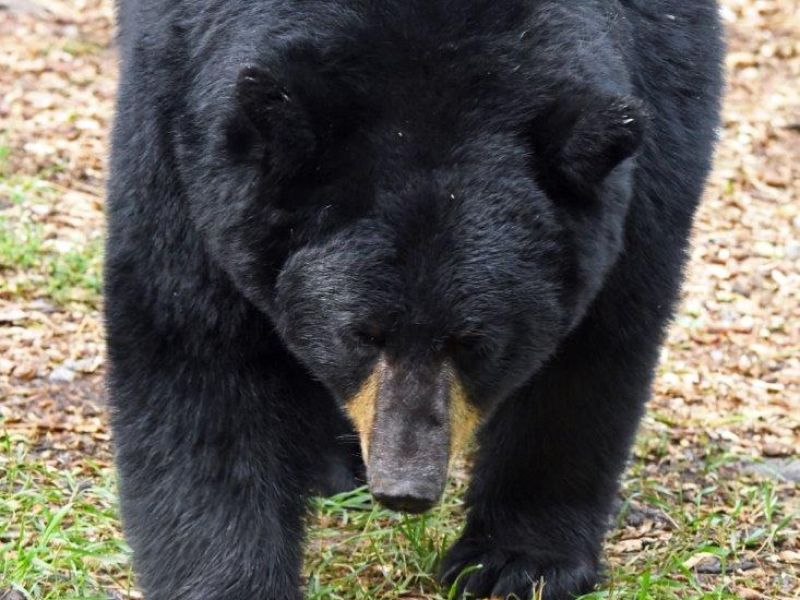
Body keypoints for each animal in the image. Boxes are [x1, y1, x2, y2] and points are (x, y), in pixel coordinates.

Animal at [104, 0, 723, 598]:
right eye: (361, 334)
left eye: (473, 342)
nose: (406, 486)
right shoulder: (186, 112)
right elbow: (195, 348)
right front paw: (230, 579)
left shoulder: (657, 105)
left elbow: (598, 341)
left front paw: (516, 562)